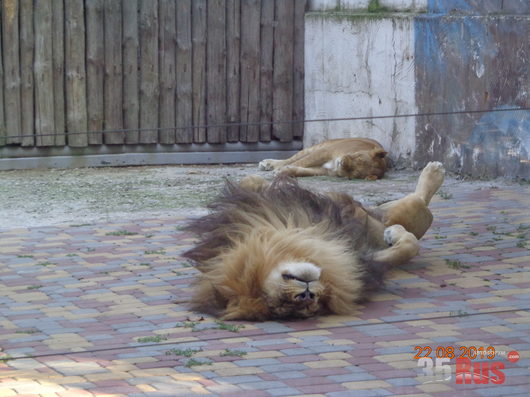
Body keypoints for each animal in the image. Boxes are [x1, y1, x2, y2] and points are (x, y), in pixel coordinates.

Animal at [184, 161, 444, 318]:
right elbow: (407, 247)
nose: (305, 295)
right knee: (417, 207)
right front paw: (395, 236)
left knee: (415, 202)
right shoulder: (361, 261)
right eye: (282, 305)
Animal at [256, 137, 386, 179]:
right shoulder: (325, 151)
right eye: (358, 156)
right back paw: (267, 164)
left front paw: (284, 172)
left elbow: (302, 170)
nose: (342, 162)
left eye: (354, 172)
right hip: (317, 147)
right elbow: (301, 162)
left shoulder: (325, 171)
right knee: (293, 158)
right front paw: (278, 170)